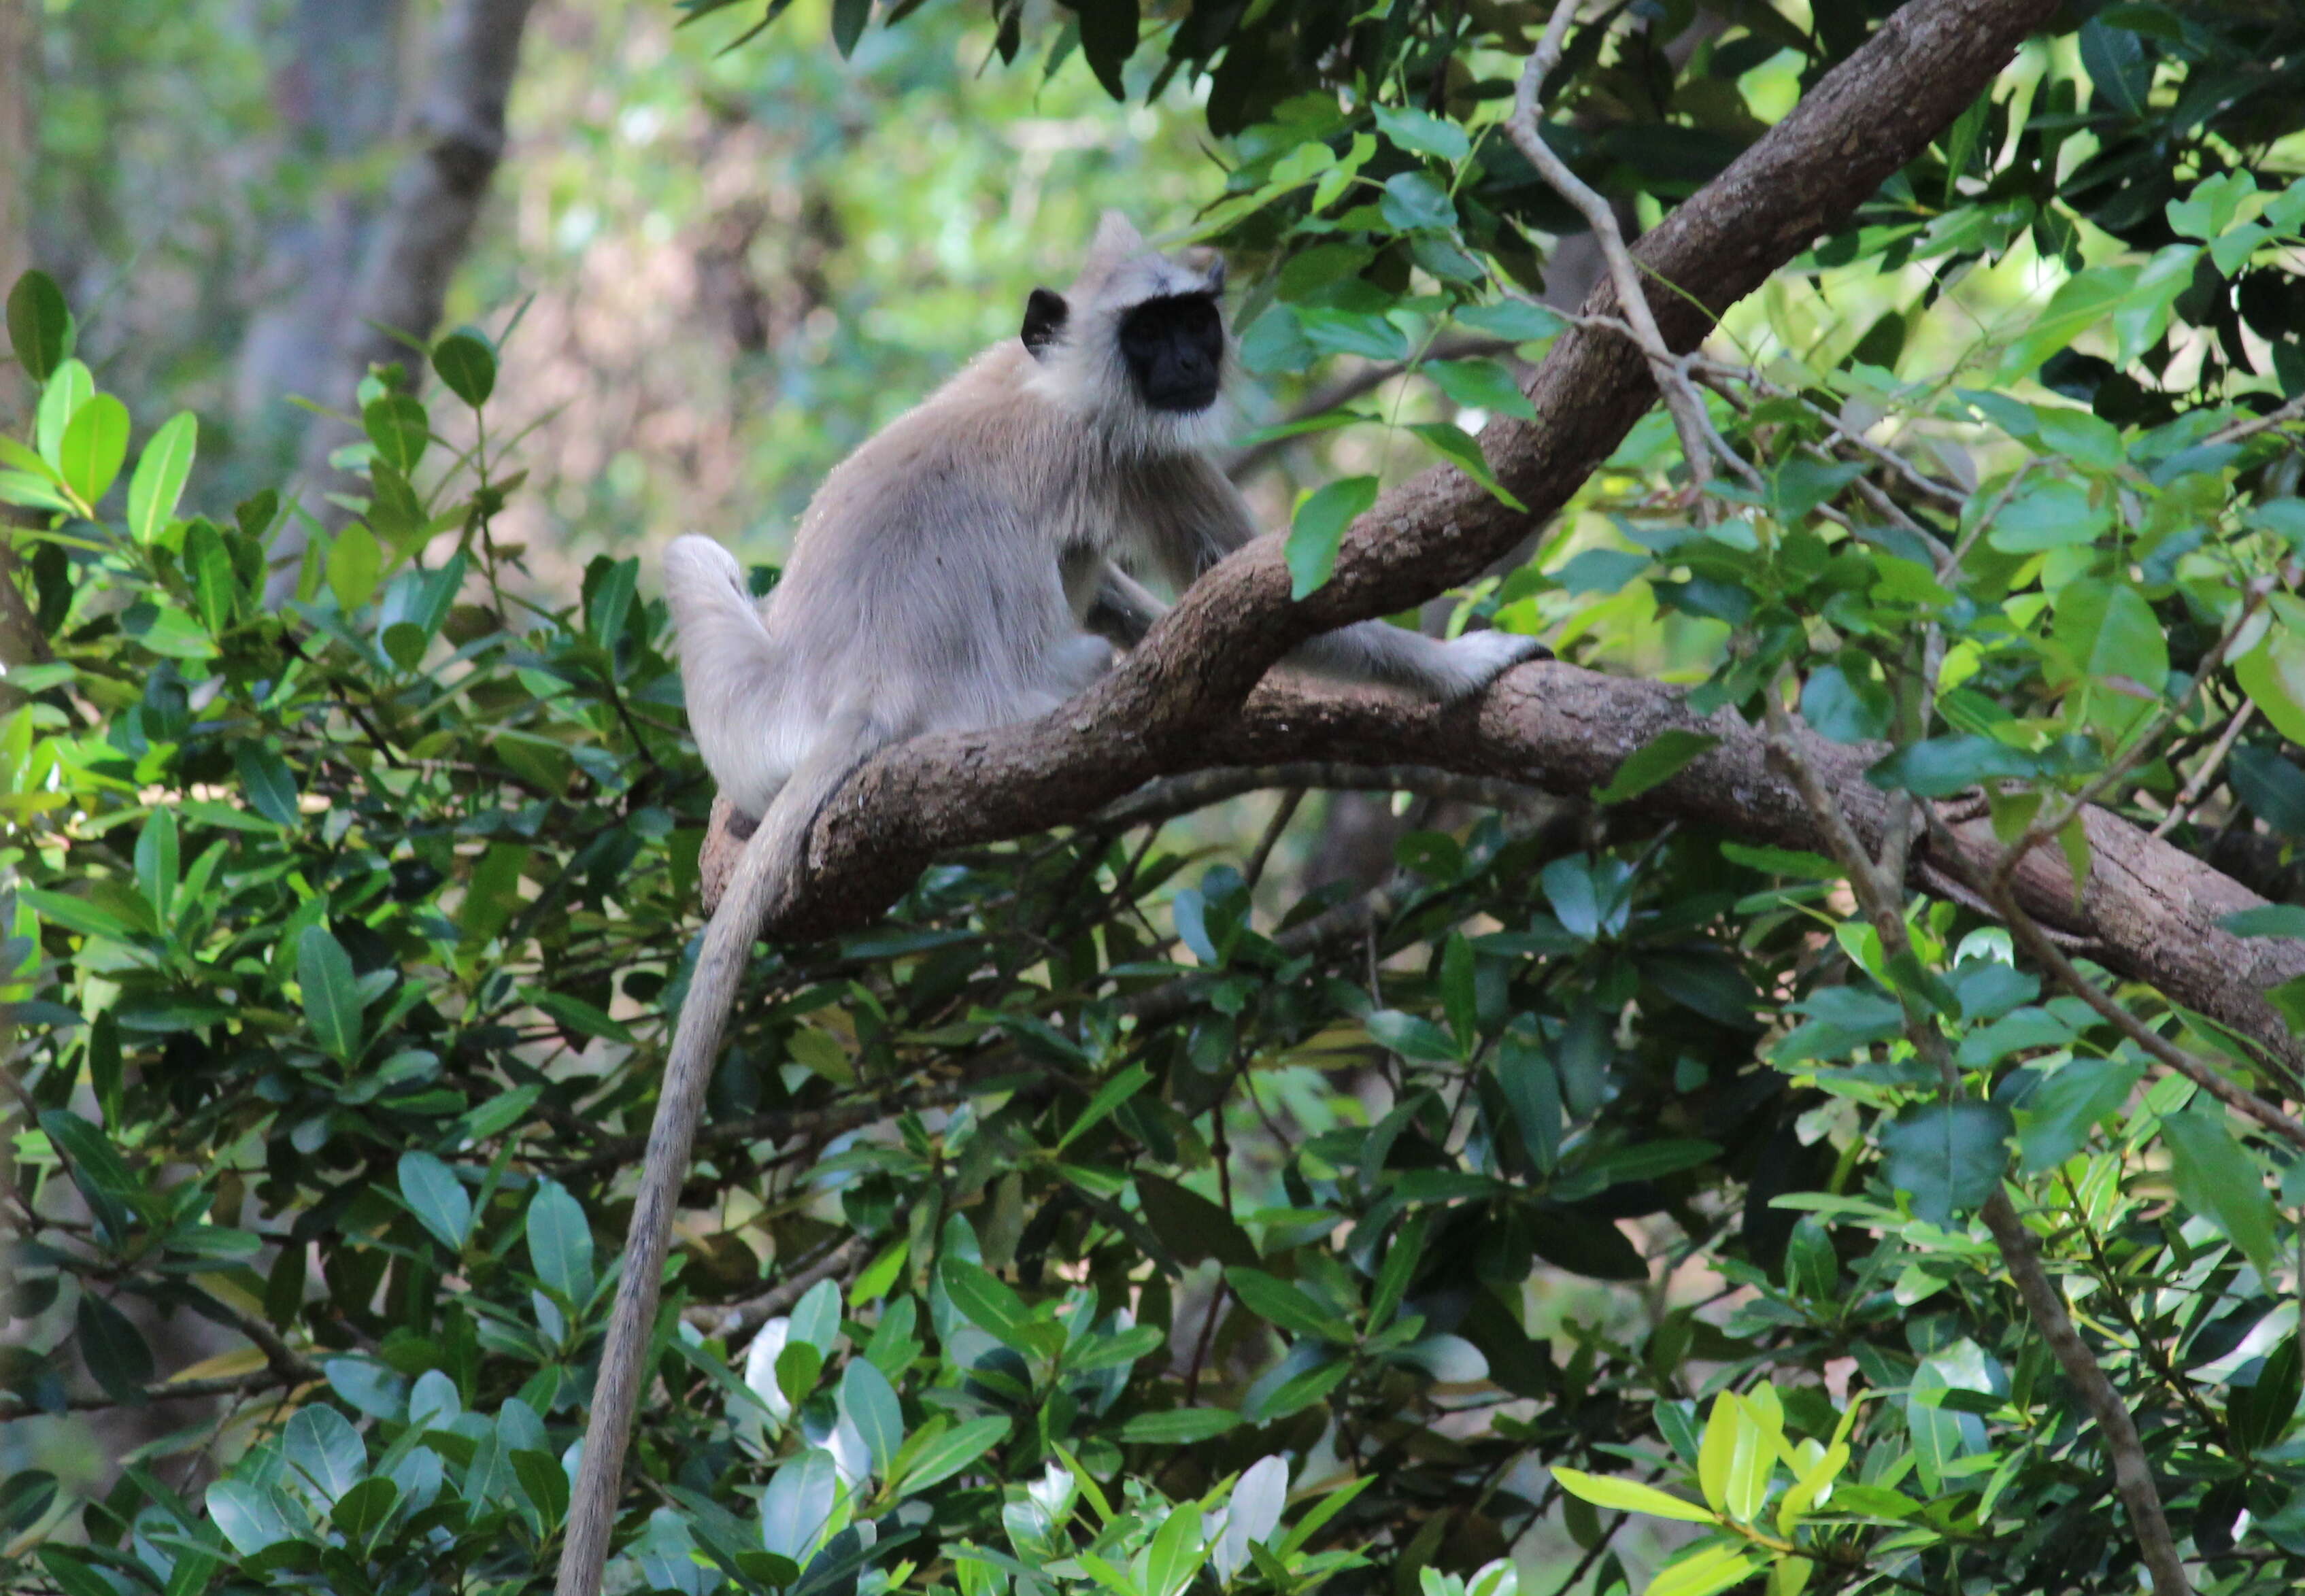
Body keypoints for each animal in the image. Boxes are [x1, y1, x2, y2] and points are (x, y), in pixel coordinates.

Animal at [659, 211, 1539, 902]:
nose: (1188, 363)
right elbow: (1282, 597)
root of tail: (862, 688)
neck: (1058, 381)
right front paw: (1459, 665)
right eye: (1148, 332)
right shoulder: (1141, 452)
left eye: (1194, 322)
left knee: (688, 553)